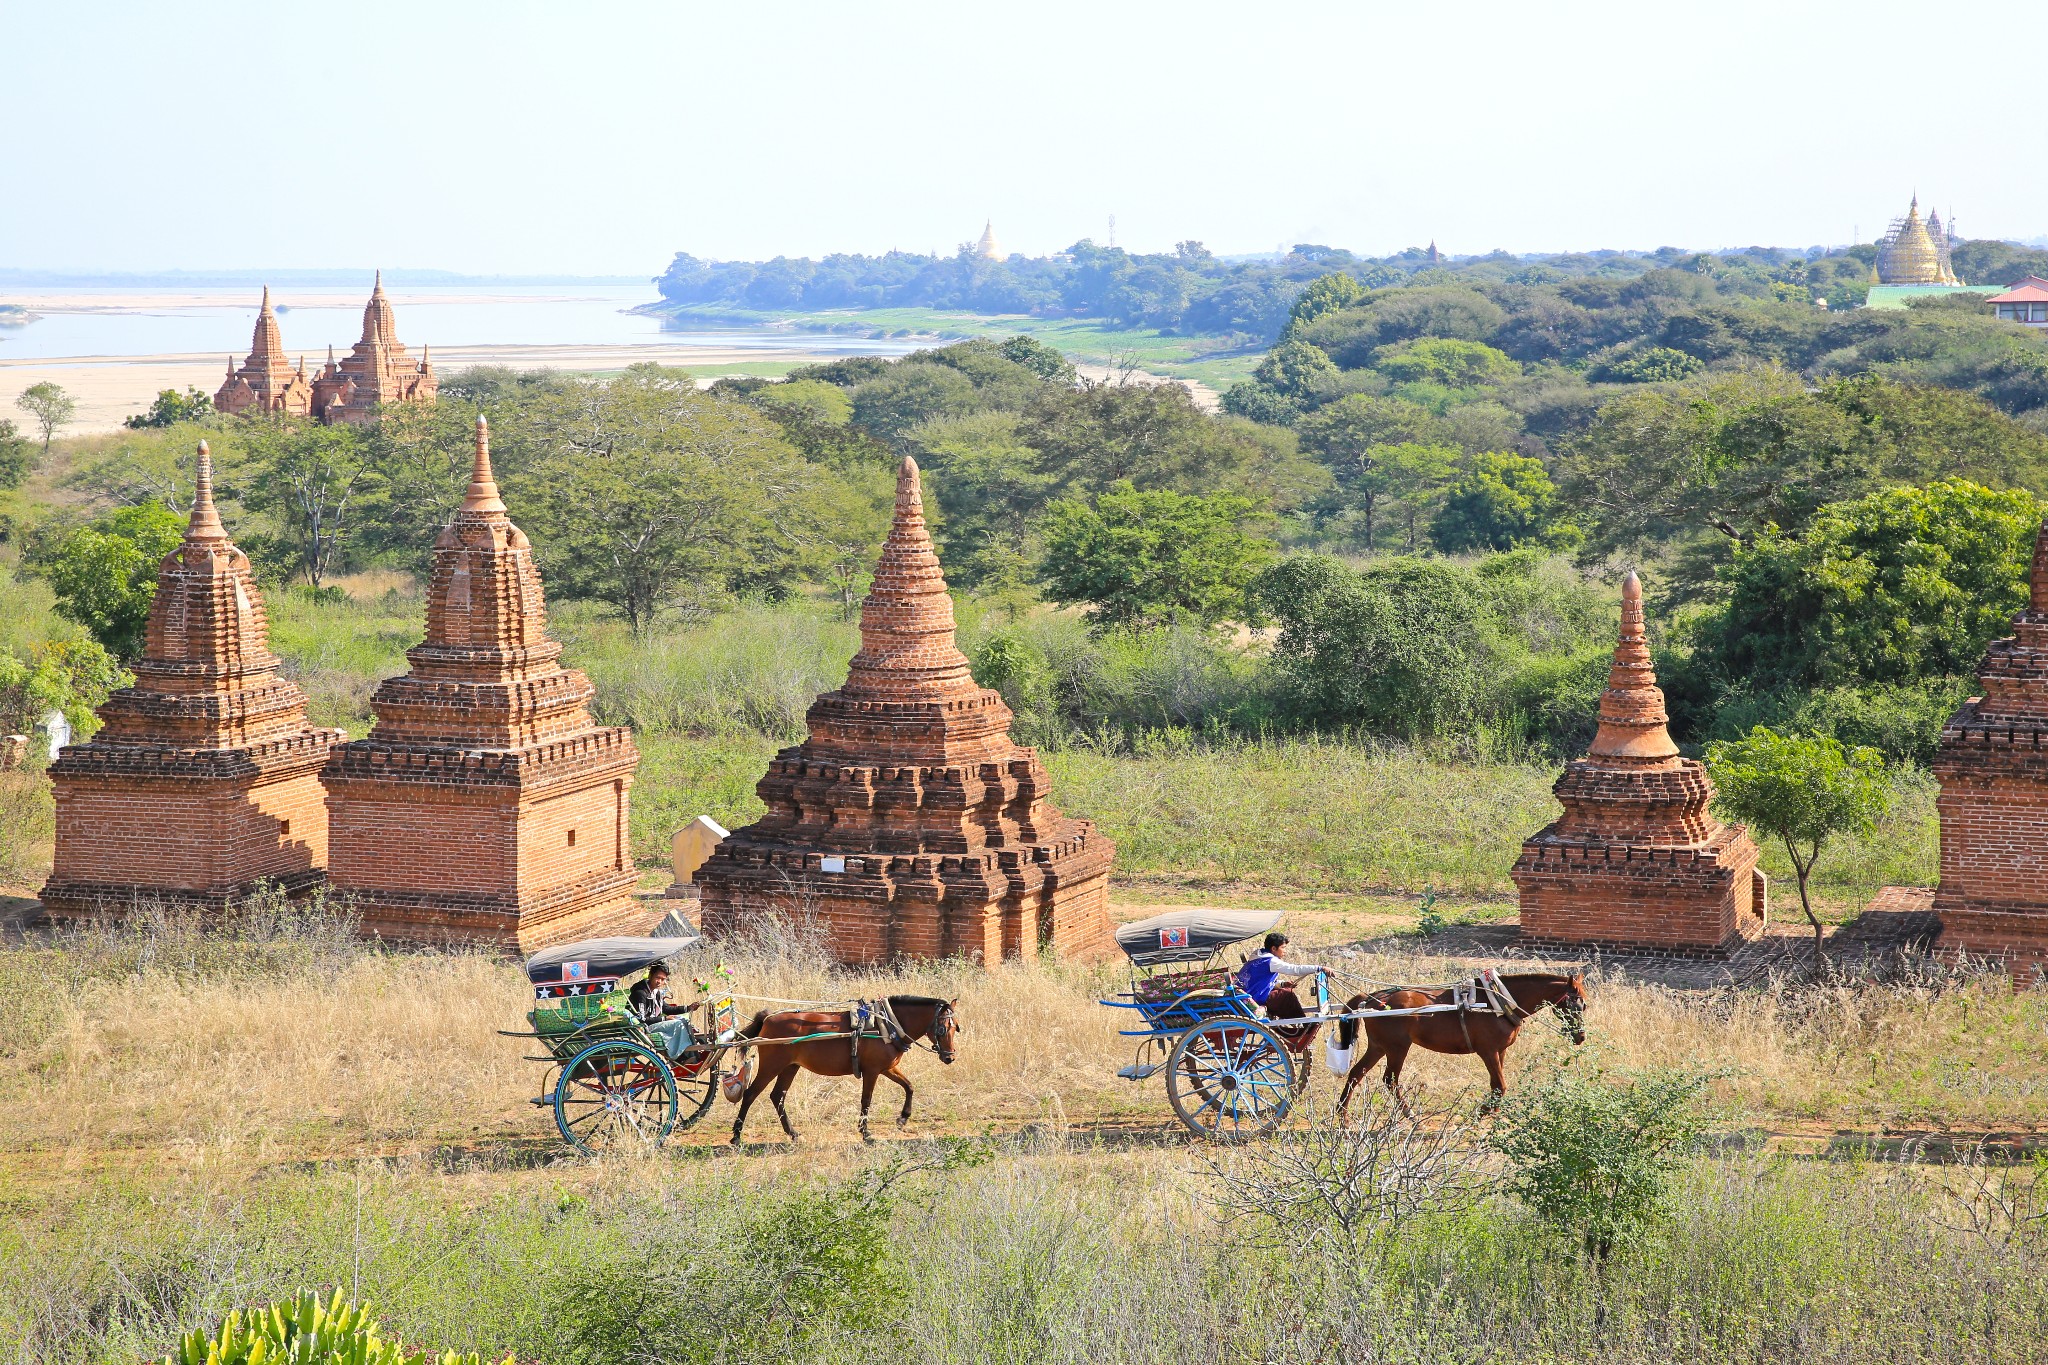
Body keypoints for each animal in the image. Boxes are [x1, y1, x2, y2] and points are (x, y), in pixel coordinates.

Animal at [733, 994, 962, 1146]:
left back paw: (793, 1133)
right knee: (751, 1094)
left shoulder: (888, 1068)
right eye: (942, 1028)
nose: (949, 1057)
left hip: (790, 1067)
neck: (886, 1025)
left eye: (956, 1027)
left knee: (777, 1096)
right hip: (772, 1065)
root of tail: (768, 1018)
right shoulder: (872, 1071)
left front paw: (903, 1118)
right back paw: (736, 1135)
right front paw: (865, 1132)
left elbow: (909, 1086)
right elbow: (866, 1100)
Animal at [1335, 970, 1589, 1121]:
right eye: (1576, 1005)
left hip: (1379, 1046)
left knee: (1356, 1074)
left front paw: (1494, 1111)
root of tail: (1373, 998)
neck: (1498, 1002)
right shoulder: (1487, 1051)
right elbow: (1501, 1085)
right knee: (1390, 1079)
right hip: (1397, 1047)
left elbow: (1496, 1084)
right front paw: (1482, 1113)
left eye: (1584, 1006)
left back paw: (1343, 1116)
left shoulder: (1500, 1050)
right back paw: (1408, 1113)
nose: (1581, 1037)